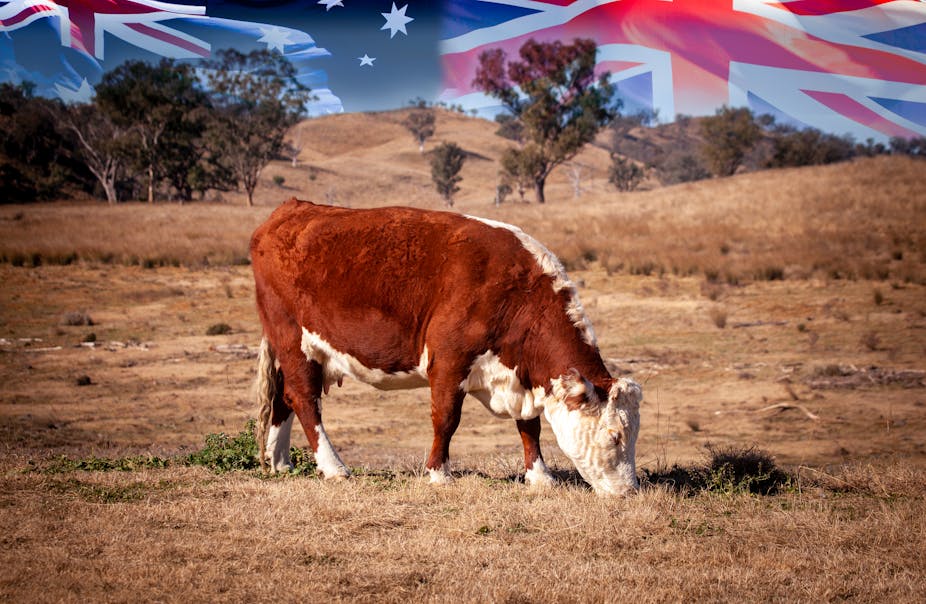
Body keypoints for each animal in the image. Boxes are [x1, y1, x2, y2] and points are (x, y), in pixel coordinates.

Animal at [250, 198, 642, 495]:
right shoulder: (449, 362)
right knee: (304, 399)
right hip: (293, 339)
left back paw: (280, 462)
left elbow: (530, 426)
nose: (630, 490)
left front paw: (540, 476)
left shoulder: (521, 375)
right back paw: (333, 467)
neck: (517, 293)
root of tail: (291, 210)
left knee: (284, 397)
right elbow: (447, 419)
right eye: (615, 436)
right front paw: (439, 473)